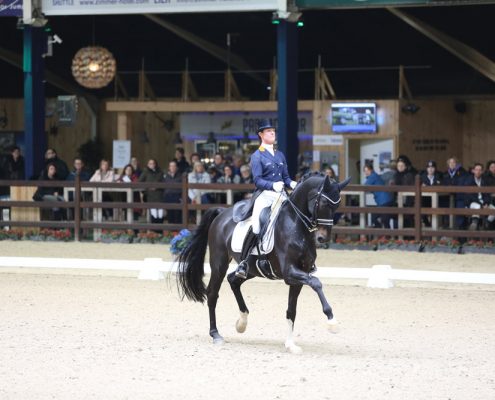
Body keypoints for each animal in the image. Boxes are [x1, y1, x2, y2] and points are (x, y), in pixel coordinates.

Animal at [176, 173, 350, 352]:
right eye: (324, 203)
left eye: (337, 205)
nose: (323, 238)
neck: (296, 226)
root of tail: (222, 213)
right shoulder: (290, 272)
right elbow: (316, 283)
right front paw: (332, 321)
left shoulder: (298, 277)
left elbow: (291, 310)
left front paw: (290, 344)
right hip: (219, 263)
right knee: (212, 293)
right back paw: (216, 334)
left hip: (252, 269)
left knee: (233, 280)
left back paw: (242, 322)